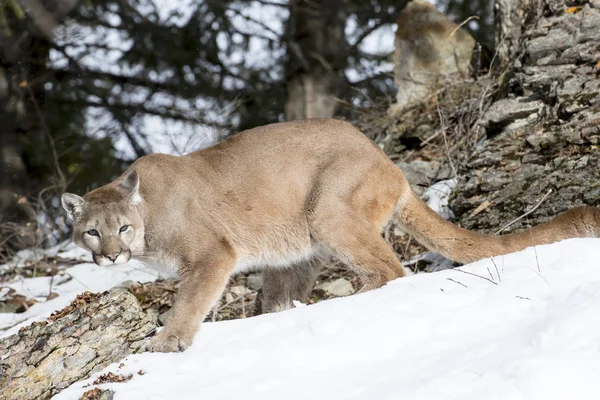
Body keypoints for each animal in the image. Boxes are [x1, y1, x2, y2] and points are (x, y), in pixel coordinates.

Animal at [62, 117, 600, 352]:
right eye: (91, 233)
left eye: (122, 227)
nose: (112, 256)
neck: (148, 215)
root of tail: (390, 163)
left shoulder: (213, 255)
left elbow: (190, 301)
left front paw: (167, 341)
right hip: (298, 251)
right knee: (286, 296)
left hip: (329, 212)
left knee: (391, 271)